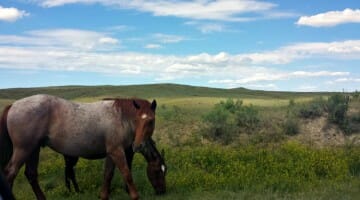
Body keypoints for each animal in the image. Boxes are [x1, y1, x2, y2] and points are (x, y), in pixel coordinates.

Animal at [0, 94, 157, 199]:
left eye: (151, 121)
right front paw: (135, 196)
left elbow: (108, 175)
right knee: (9, 174)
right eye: (137, 119)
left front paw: (103, 195)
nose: (138, 145)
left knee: (31, 174)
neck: (120, 117)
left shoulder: (112, 152)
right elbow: (126, 174)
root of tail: (13, 105)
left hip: (33, 149)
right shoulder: (117, 151)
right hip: (23, 150)